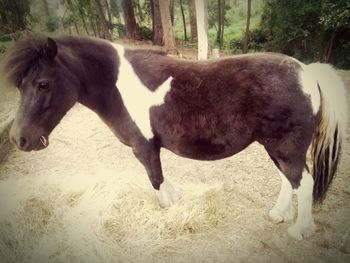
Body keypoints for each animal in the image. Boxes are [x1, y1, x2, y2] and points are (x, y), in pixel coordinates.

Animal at [2, 35, 348, 241]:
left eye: (43, 83)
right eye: (20, 85)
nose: (19, 139)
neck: (117, 86)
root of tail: (307, 72)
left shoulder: (144, 147)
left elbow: (156, 180)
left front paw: (169, 210)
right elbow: (162, 180)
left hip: (285, 147)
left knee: (303, 182)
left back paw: (300, 230)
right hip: (277, 147)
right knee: (290, 180)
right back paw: (279, 215)